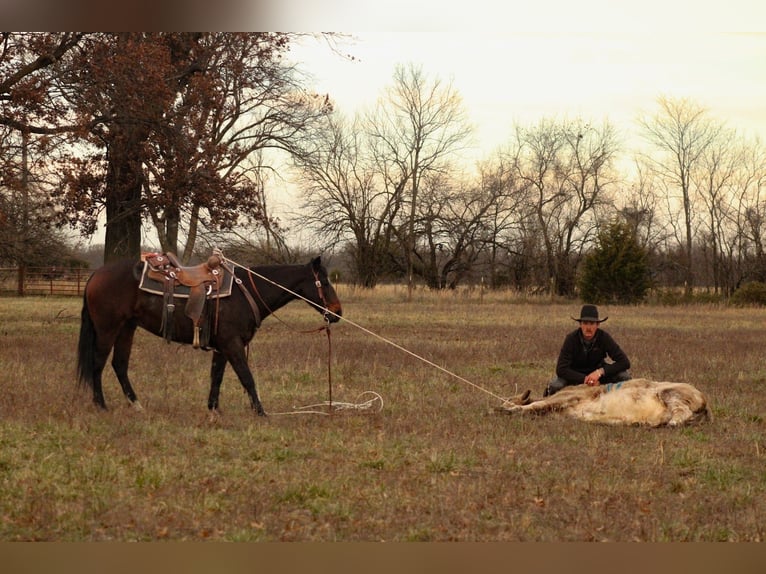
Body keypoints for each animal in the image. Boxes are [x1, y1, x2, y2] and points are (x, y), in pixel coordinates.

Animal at [76, 255, 342, 416]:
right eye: (324, 281)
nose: (338, 312)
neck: (245, 291)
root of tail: (96, 274)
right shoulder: (232, 344)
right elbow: (247, 378)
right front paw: (261, 412)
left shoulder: (222, 346)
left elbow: (217, 377)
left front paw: (213, 409)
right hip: (107, 329)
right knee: (98, 364)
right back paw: (101, 405)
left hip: (126, 328)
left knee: (119, 365)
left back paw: (136, 404)